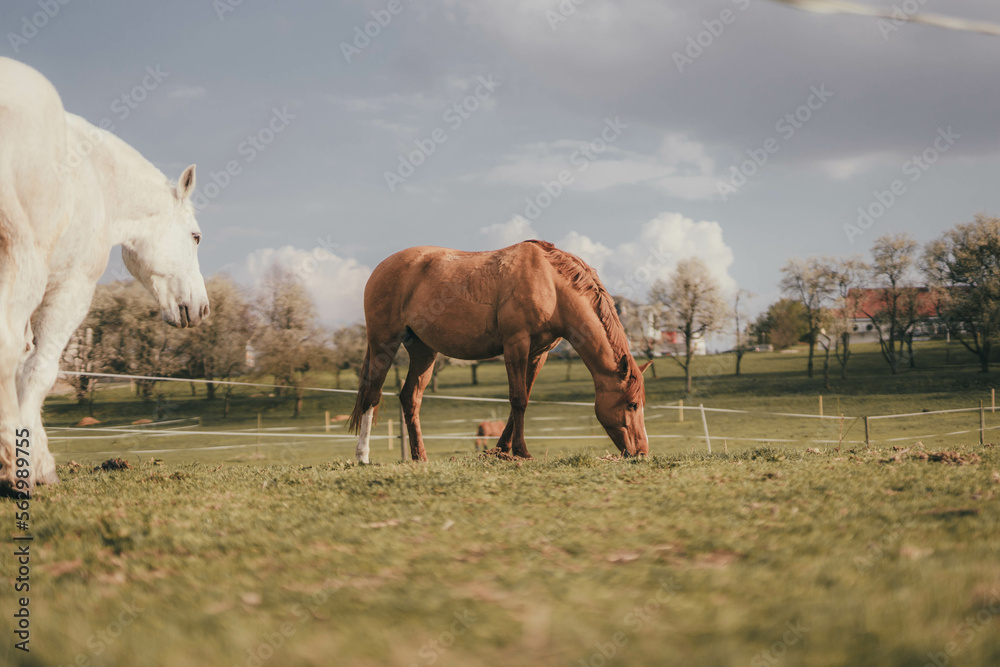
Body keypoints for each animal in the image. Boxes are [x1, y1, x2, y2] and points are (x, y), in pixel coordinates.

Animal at [0, 58, 210, 495]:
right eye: (196, 236)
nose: (203, 308)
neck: (96, 177)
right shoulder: (70, 288)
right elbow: (38, 371)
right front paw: (26, 467)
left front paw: (38, 461)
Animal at [349, 240, 651, 462]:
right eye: (631, 404)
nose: (641, 452)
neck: (551, 284)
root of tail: (381, 267)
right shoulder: (516, 344)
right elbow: (518, 399)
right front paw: (521, 451)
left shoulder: (538, 352)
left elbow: (523, 398)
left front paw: (502, 449)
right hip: (384, 342)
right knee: (372, 394)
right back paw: (363, 456)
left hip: (423, 351)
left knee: (410, 398)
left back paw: (419, 457)